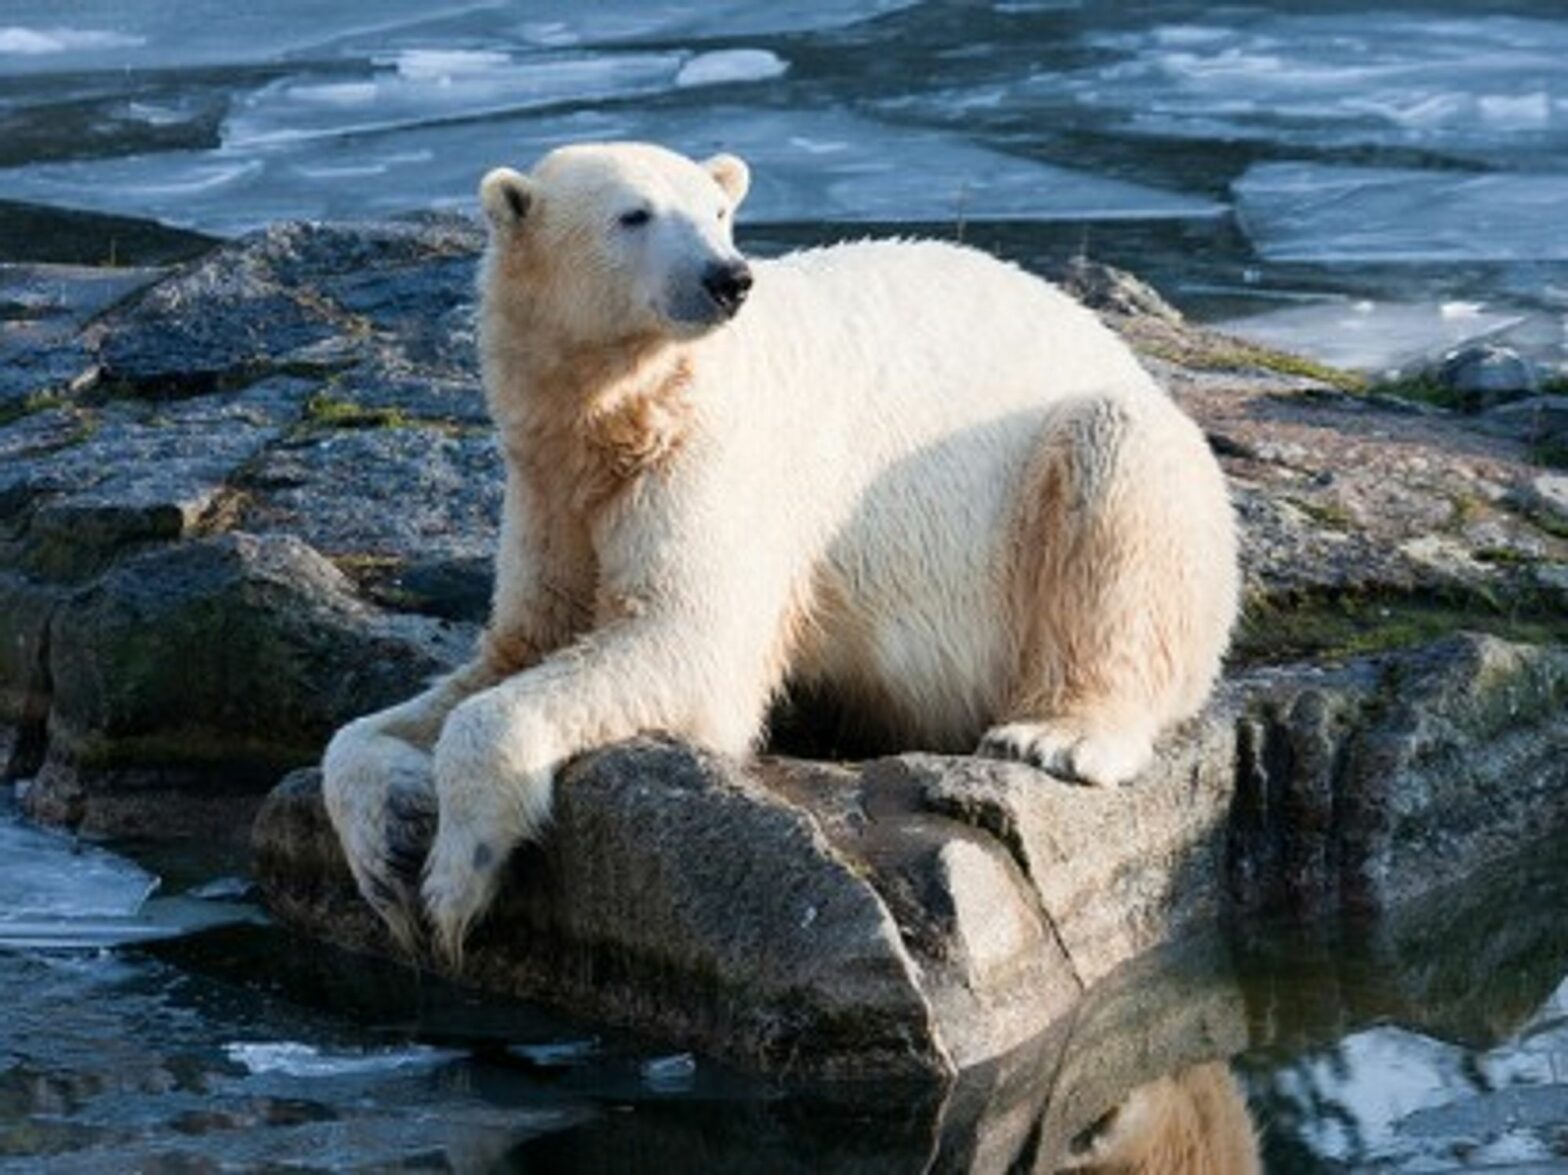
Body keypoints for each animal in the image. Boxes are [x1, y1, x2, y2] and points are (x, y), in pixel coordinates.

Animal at [322, 141, 1239, 962]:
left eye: (719, 211)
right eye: (634, 214)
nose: (728, 276)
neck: (622, 420)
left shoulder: (719, 459)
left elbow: (687, 638)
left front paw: (454, 881)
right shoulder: (551, 489)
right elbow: (506, 651)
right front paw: (386, 853)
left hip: (1100, 489)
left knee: (1112, 472)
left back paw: (1054, 733)